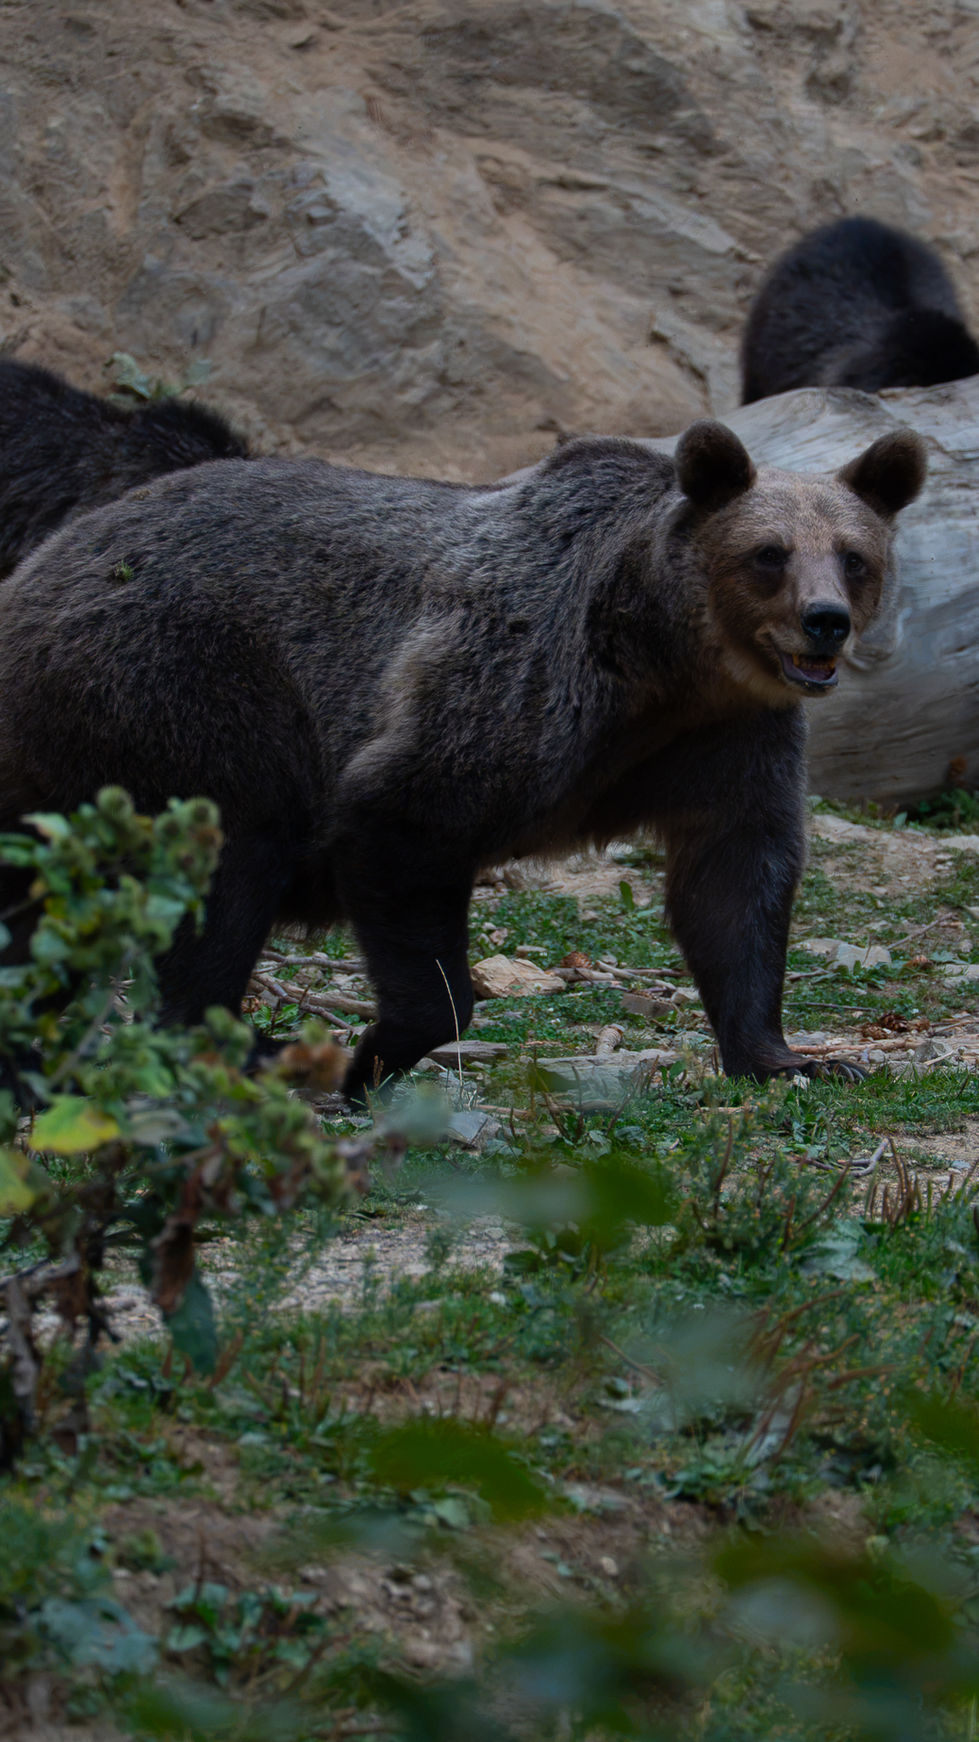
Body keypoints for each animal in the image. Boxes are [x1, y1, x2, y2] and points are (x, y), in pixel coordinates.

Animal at [0, 418, 926, 1103]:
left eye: (853, 555)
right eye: (767, 553)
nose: (823, 621)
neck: (662, 663)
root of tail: (42, 563)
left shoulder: (725, 740)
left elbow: (735, 884)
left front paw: (791, 1056)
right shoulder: (514, 690)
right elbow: (399, 820)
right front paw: (373, 1051)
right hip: (181, 688)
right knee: (228, 862)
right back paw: (242, 1047)